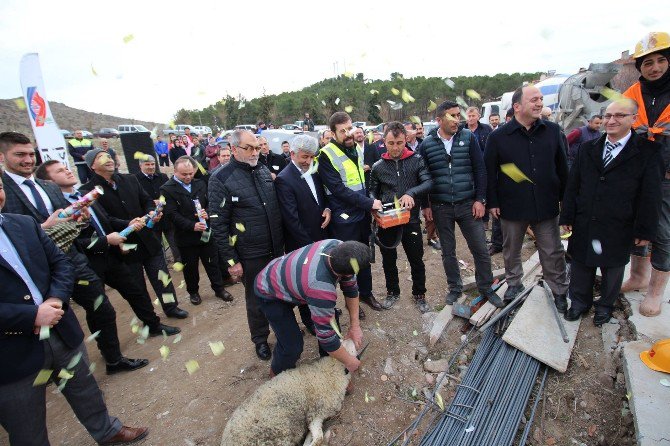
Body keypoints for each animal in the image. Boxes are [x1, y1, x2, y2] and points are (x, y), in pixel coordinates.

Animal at [220, 338, 360, 446]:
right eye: (345, 347)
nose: (352, 338)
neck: (328, 372)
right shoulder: (316, 412)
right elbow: (318, 438)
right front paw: (317, 437)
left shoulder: (317, 415)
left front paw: (309, 435)